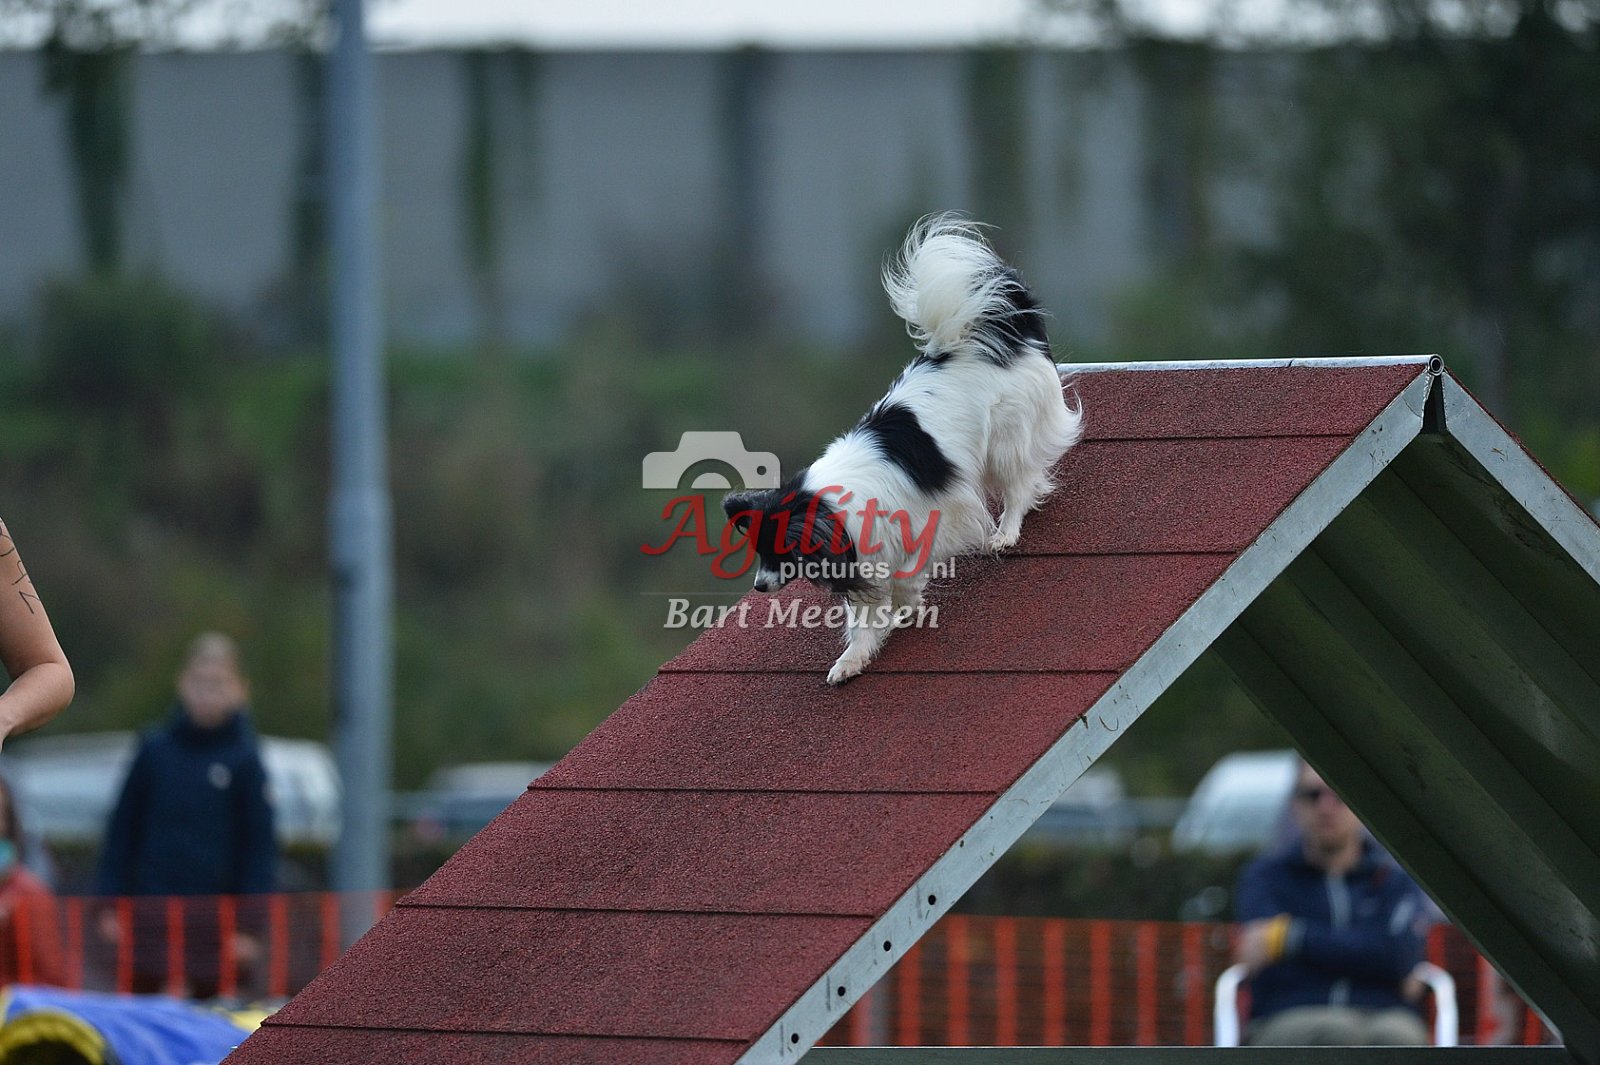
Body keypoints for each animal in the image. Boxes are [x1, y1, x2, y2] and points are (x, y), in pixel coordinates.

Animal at [722, 214, 1083, 684]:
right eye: (760, 550)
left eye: (783, 550)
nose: (759, 586)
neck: (827, 504)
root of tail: (985, 336)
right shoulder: (865, 554)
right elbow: (865, 616)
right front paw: (853, 659)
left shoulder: (931, 517)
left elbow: (908, 575)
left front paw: (905, 607)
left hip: (1004, 439)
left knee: (1019, 484)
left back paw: (1005, 533)